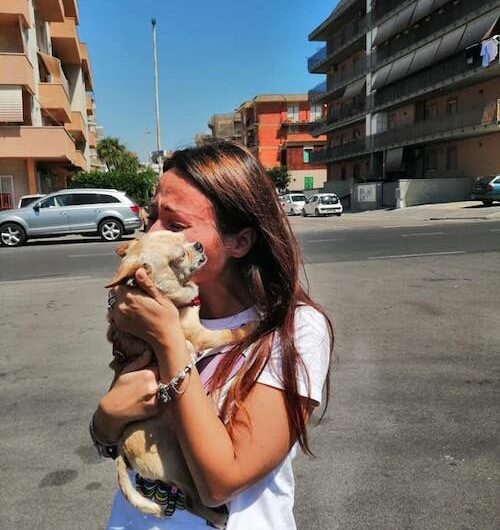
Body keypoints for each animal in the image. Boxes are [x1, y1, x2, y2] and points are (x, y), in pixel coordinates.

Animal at [105, 230, 254, 524]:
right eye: (178, 258)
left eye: (182, 235)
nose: (197, 245)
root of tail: (122, 452)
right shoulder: (200, 335)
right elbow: (229, 333)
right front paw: (253, 325)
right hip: (179, 462)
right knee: (195, 500)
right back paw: (218, 518)